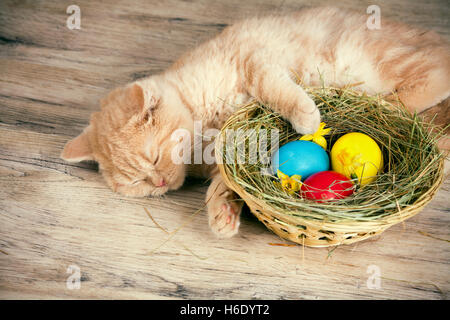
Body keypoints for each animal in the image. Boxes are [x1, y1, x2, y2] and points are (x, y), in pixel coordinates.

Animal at [60, 6, 450, 238]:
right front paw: (221, 215)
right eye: (137, 183)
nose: (159, 183)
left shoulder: (254, 59)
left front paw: (307, 117)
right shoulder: (231, 151)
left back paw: (393, 105)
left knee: (435, 74)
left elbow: (275, 88)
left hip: (375, 59)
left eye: (153, 158)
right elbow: (224, 183)